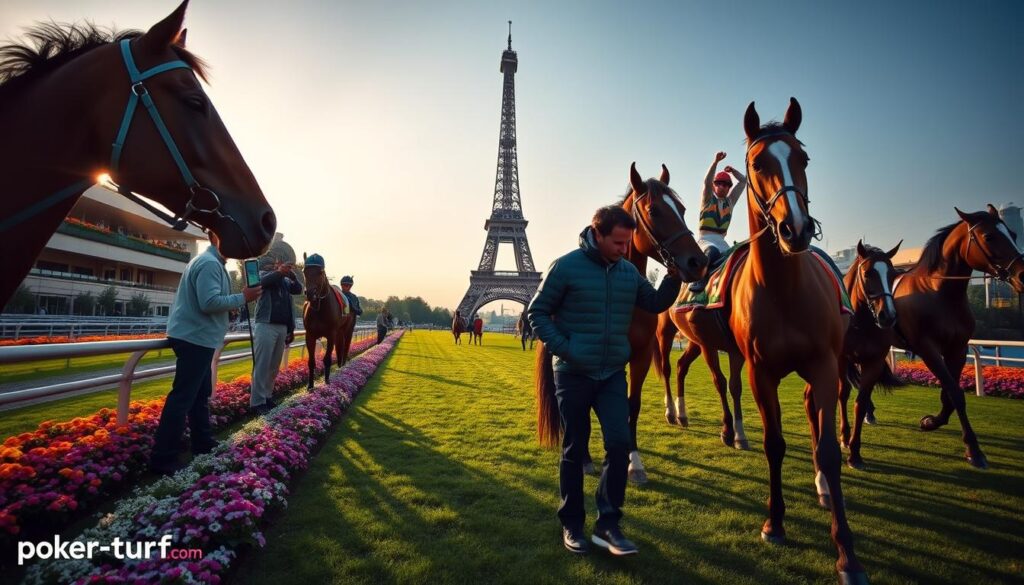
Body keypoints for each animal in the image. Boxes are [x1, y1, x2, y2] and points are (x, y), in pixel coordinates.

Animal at [299, 257, 356, 387]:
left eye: (320, 272)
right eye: (304, 271)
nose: (310, 293)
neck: (319, 308)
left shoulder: (331, 334)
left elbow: (327, 359)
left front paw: (327, 381)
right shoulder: (310, 335)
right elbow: (311, 361)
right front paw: (310, 386)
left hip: (347, 329)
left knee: (346, 346)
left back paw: (343, 365)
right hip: (339, 332)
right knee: (340, 347)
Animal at [729, 98, 864, 581]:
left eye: (802, 159)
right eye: (757, 163)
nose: (796, 229)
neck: (783, 289)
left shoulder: (824, 364)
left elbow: (827, 450)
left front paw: (846, 553)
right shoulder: (760, 372)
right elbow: (774, 444)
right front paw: (774, 522)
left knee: (816, 413)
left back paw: (825, 486)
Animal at [839, 237, 905, 467]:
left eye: (892, 275)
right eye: (868, 274)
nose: (888, 315)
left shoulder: (873, 361)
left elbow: (860, 401)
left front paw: (855, 453)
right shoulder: (841, 357)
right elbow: (843, 393)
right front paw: (844, 437)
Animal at [888, 205, 1024, 467]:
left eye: (1013, 233)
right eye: (989, 236)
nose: (1023, 275)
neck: (936, 292)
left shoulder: (958, 347)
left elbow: (950, 392)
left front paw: (933, 421)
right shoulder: (926, 347)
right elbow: (955, 392)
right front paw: (973, 448)